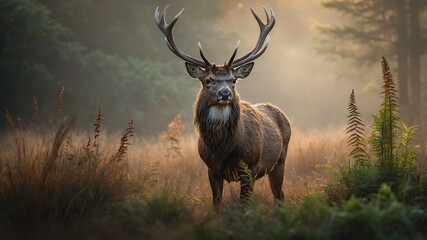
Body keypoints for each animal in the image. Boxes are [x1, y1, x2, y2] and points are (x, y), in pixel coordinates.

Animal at [155, 5, 292, 208]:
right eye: (208, 80)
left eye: (233, 80)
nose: (225, 93)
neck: (223, 149)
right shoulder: (211, 169)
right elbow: (216, 203)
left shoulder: (251, 167)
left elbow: (244, 204)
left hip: (280, 161)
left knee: (279, 196)